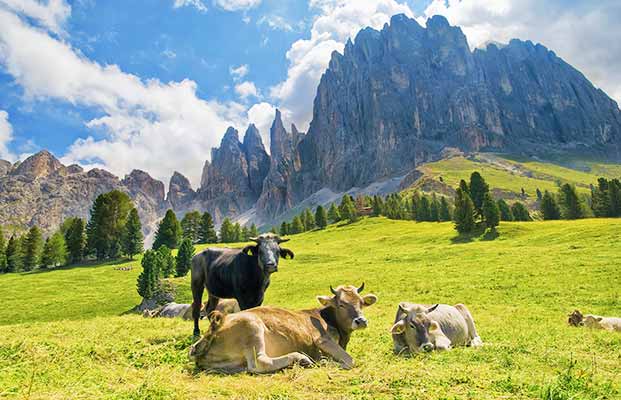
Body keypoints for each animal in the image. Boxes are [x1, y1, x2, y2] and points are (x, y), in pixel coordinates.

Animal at [188, 282, 378, 374]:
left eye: (361, 302)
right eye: (341, 304)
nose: (361, 321)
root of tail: (216, 325)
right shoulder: (322, 339)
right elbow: (349, 360)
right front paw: (327, 362)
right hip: (252, 328)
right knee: (260, 363)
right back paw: (301, 358)